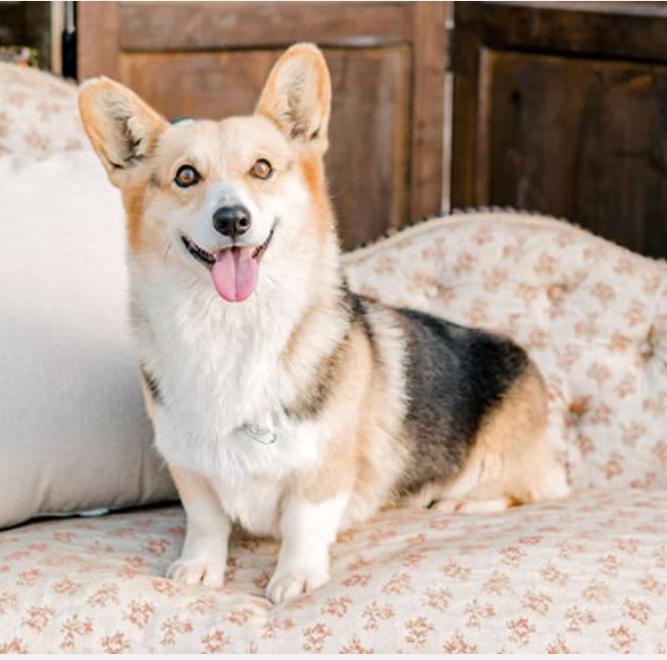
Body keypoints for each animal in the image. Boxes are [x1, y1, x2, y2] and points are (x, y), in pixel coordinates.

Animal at [78, 43, 569, 603]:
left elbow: (303, 524)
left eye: (262, 168)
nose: (233, 220)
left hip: (501, 467)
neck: (233, 327)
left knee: (532, 490)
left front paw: (295, 577)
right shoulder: (190, 465)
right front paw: (200, 567)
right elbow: (205, 521)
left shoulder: (323, 469)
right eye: (186, 176)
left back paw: (459, 502)